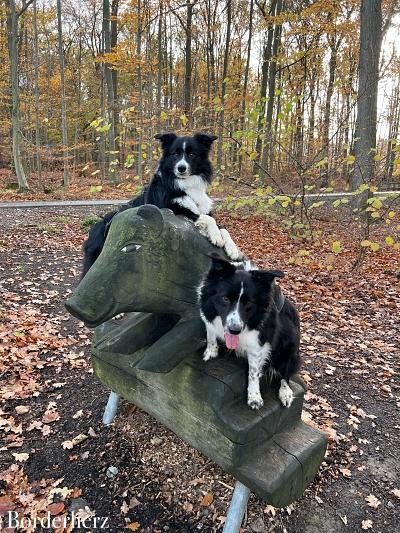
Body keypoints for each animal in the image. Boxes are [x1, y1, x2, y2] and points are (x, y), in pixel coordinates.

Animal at [82, 131, 241, 276]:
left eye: (191, 154)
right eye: (175, 154)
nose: (181, 168)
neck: (185, 185)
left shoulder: (202, 209)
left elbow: (222, 227)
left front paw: (233, 248)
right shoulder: (175, 210)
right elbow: (208, 219)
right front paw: (216, 236)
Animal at [198, 252, 298, 408]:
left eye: (249, 302)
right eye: (225, 298)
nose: (234, 330)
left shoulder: (258, 343)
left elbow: (253, 372)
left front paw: (254, 396)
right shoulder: (208, 316)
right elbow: (211, 334)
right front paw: (211, 352)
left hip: (289, 342)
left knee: (285, 373)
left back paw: (285, 392)